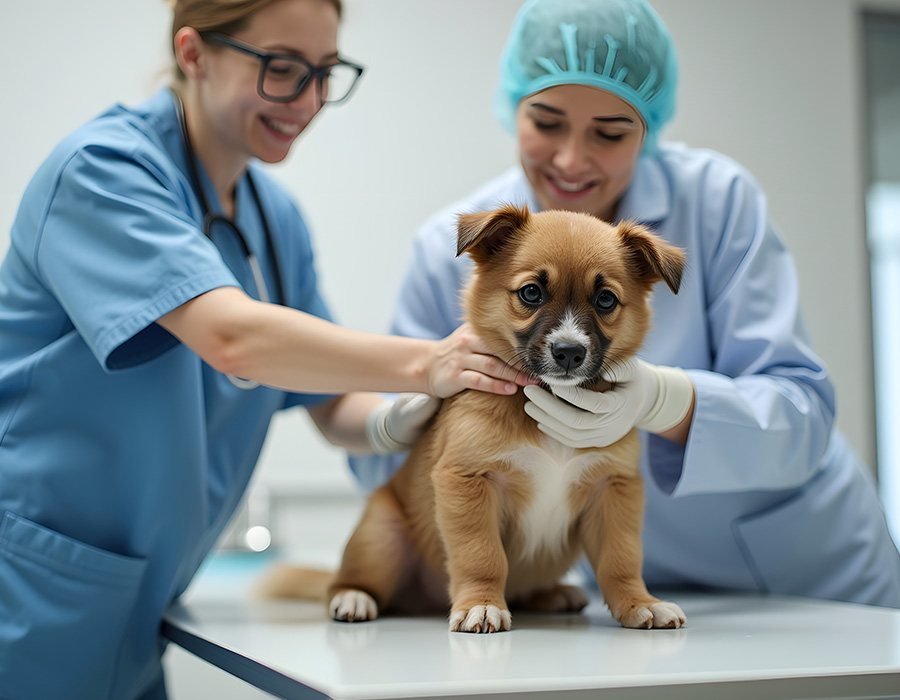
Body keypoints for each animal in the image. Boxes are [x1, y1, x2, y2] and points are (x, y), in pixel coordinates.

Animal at [264, 204, 684, 636]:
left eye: (605, 300)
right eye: (531, 292)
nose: (569, 352)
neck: (546, 398)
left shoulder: (615, 488)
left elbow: (622, 557)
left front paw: (640, 603)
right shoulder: (467, 481)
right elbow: (481, 554)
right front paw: (482, 604)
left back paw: (553, 594)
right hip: (380, 535)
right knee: (344, 580)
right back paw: (353, 598)